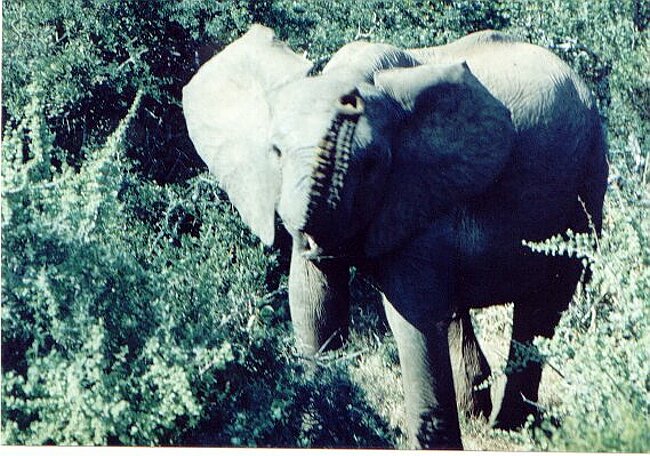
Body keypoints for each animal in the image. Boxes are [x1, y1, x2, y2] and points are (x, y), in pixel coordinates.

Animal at [182, 25, 608, 449]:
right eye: (276, 152)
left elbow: (412, 315)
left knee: (543, 306)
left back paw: (511, 427)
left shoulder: (417, 189)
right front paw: (316, 429)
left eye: (372, 164)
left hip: (585, 182)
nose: (348, 101)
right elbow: (314, 303)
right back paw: (480, 414)